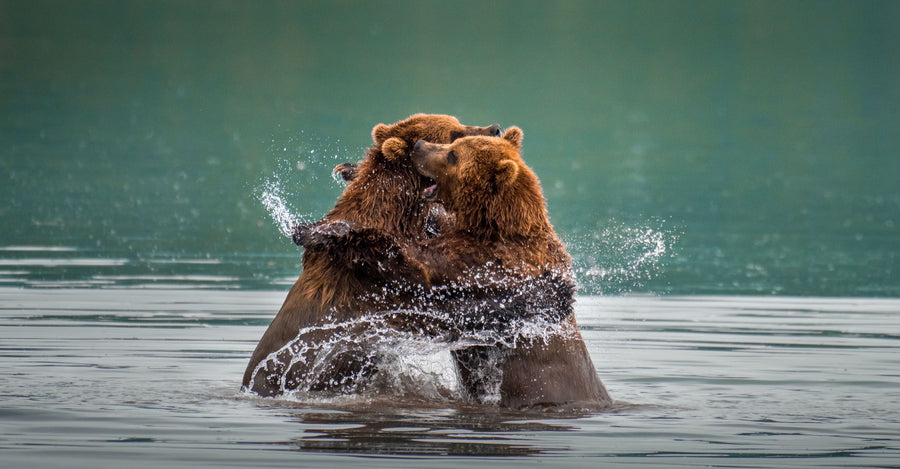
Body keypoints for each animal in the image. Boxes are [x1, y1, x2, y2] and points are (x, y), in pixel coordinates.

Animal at [242, 114, 501, 396]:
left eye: (459, 123)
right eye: (454, 133)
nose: (495, 129)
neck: (397, 218)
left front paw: (348, 170)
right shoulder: (375, 286)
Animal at [294, 128, 612, 409]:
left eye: (453, 155)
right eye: (454, 144)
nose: (419, 146)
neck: (494, 225)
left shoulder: (487, 266)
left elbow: (414, 268)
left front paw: (323, 232)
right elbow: (435, 225)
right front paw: (349, 170)